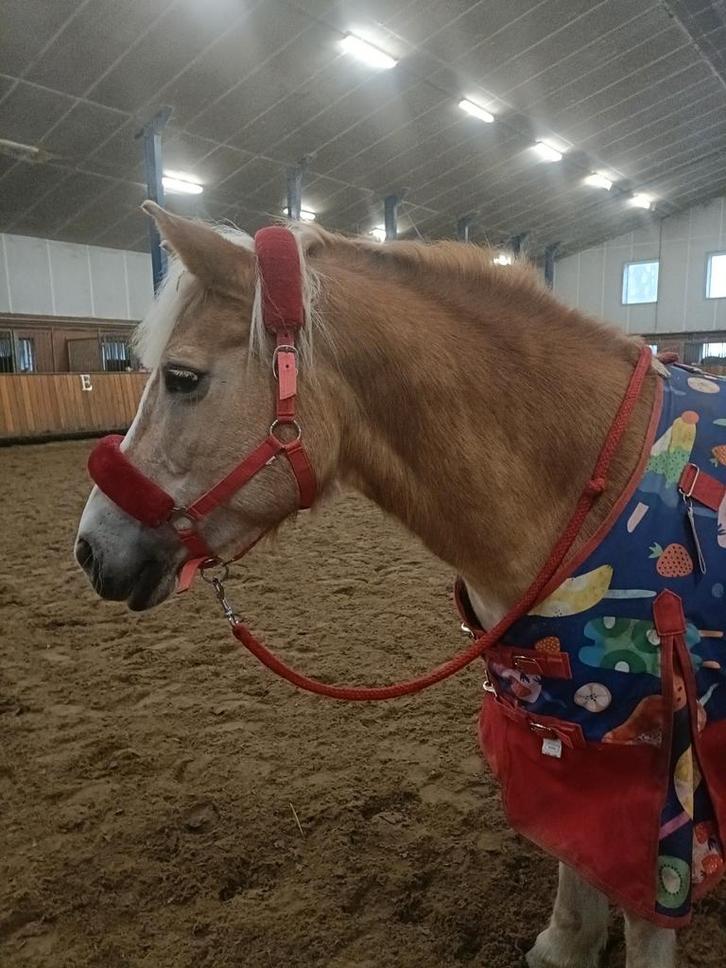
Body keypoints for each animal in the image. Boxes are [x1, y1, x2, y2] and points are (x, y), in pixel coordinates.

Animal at [74, 202, 724, 968]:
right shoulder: (568, 724)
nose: (90, 548)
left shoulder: (659, 754)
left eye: (181, 377)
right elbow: (573, 846)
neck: (592, 475)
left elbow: (647, 907)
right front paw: (566, 942)